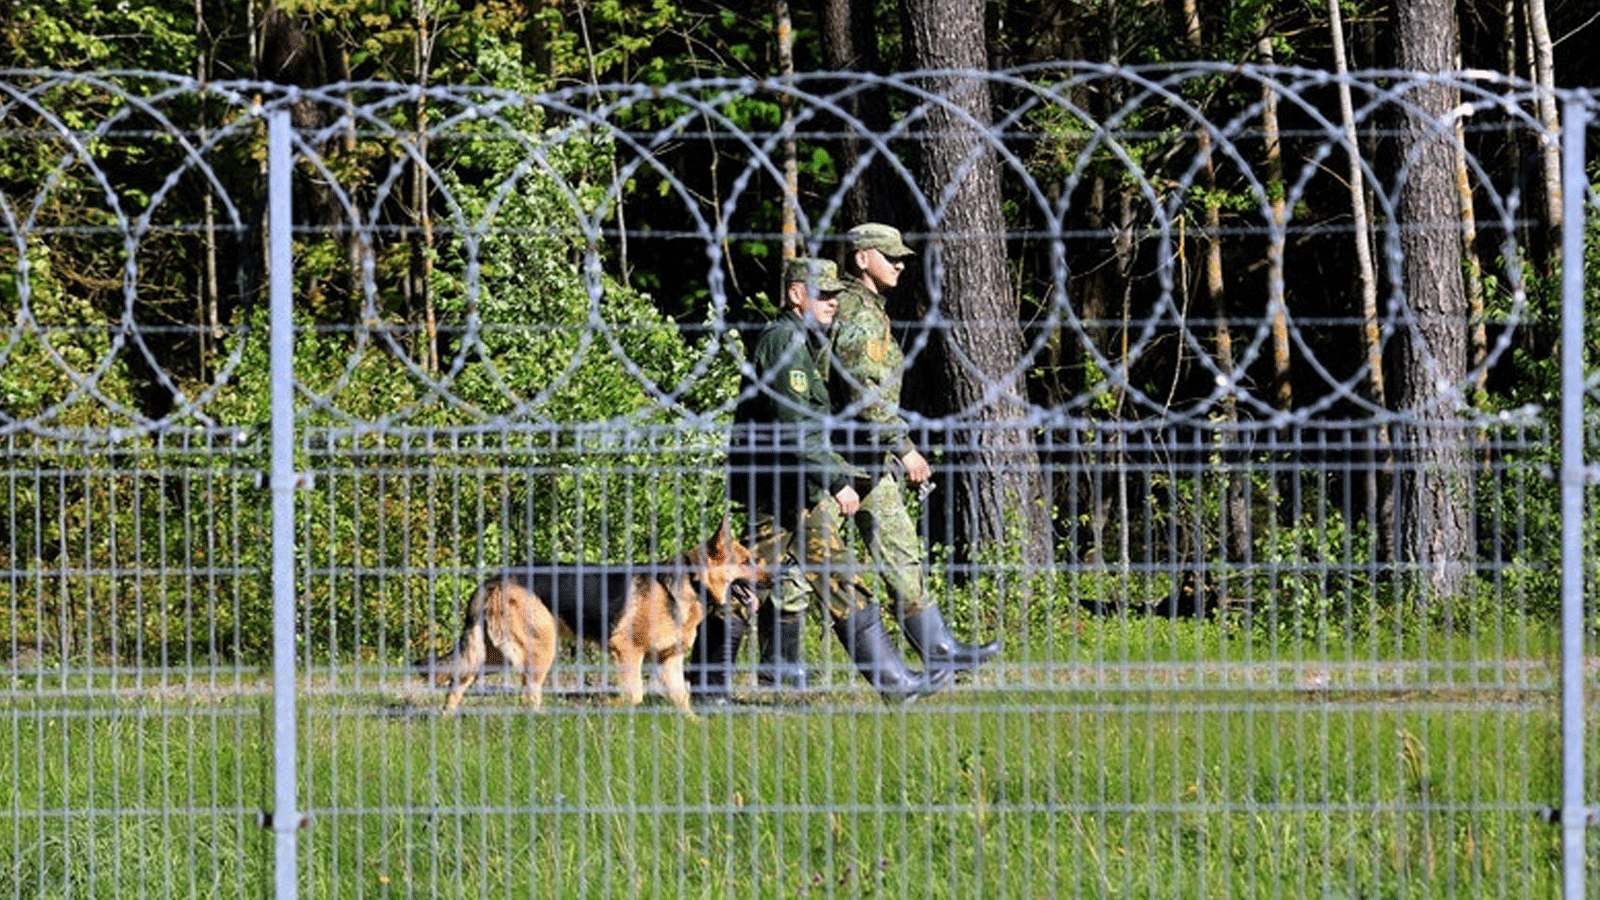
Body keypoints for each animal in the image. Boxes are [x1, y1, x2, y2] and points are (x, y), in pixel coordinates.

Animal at [419, 522, 768, 711]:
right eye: (747, 562)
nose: (775, 578)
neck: (692, 581)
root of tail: (493, 580)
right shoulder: (627, 651)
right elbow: (634, 696)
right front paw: (605, 709)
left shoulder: (668, 660)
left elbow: (682, 701)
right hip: (540, 650)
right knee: (528, 696)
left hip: (493, 655)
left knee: (458, 683)